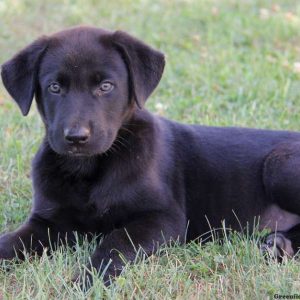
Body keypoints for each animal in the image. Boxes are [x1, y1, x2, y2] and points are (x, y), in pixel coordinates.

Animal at [0, 26, 300, 284]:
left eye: (106, 86)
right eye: (55, 87)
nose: (76, 137)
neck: (88, 168)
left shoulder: (163, 218)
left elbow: (115, 242)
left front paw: (86, 281)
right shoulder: (47, 222)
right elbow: (11, 241)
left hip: (278, 166)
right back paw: (280, 245)